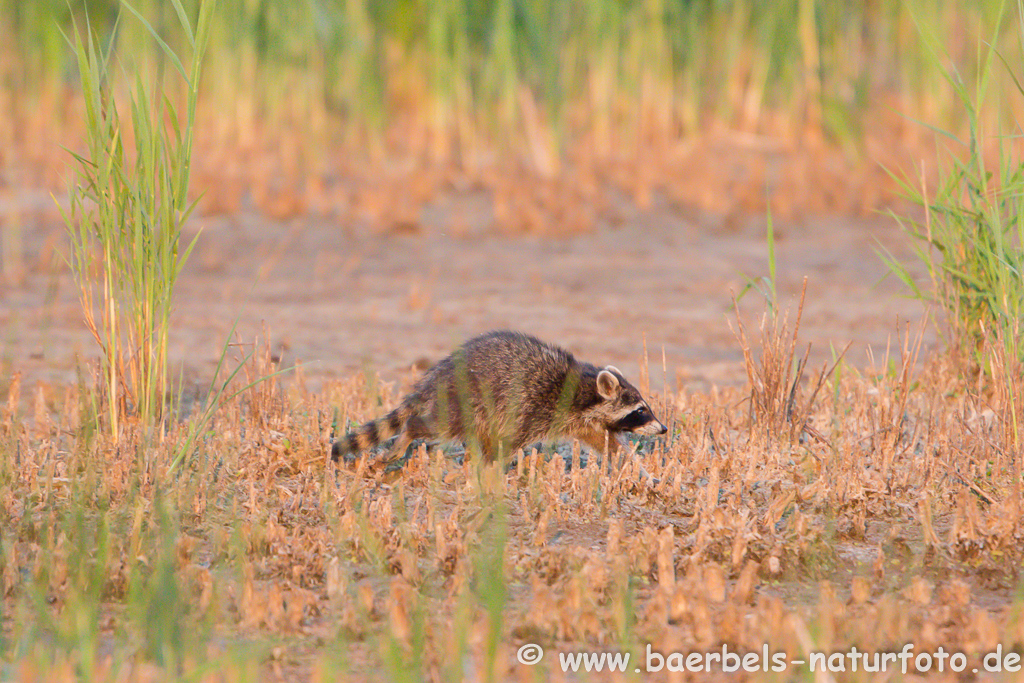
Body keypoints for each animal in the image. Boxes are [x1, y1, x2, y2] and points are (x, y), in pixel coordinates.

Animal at [327, 329, 663, 464]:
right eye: (641, 410)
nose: (664, 429)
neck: (585, 389)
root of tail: (437, 375)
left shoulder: (587, 424)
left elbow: (611, 447)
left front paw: (643, 473)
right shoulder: (536, 406)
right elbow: (508, 443)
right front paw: (491, 472)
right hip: (465, 401)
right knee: (436, 425)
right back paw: (410, 433)